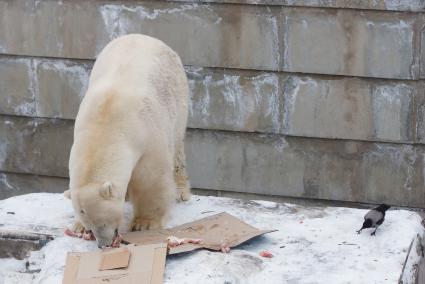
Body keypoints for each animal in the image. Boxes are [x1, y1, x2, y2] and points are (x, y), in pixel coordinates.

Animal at [66, 34, 190, 247]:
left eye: (103, 222)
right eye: (91, 226)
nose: (104, 244)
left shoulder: (146, 134)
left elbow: (150, 179)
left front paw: (144, 224)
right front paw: (78, 226)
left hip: (177, 96)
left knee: (177, 146)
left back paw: (181, 191)